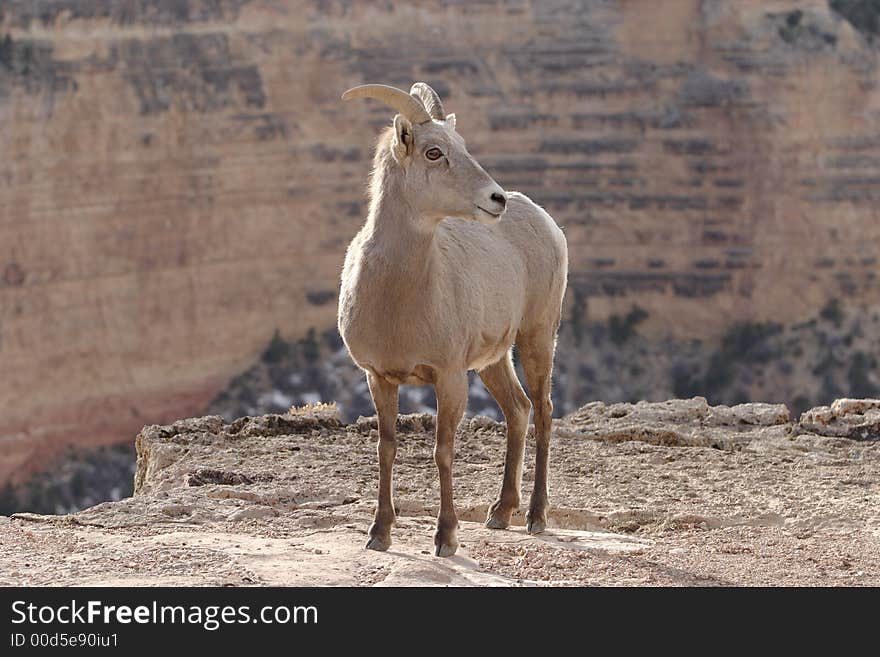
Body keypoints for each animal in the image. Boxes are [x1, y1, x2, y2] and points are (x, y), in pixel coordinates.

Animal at [336, 80, 572, 552]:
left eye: (462, 146)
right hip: (493, 359)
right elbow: (386, 449)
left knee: (542, 410)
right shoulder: (379, 377)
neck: (399, 300)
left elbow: (442, 451)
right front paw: (379, 533)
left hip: (538, 336)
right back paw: (500, 513)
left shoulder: (448, 377)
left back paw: (536, 516)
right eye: (433, 152)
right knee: (517, 409)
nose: (496, 199)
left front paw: (446, 537)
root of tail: (546, 221)